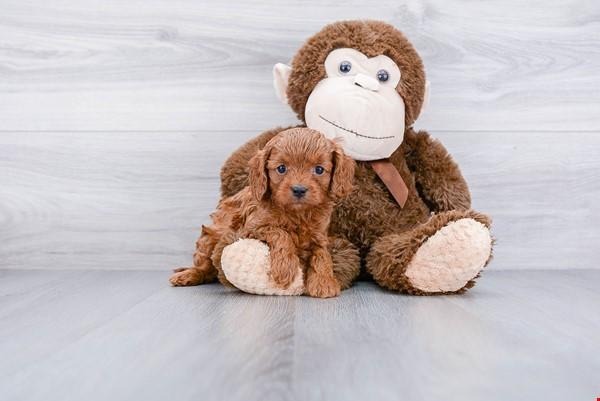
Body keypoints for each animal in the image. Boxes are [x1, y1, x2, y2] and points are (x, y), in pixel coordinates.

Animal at [169, 127, 356, 296]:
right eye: (281, 168)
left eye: (319, 169)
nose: (299, 189)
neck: (296, 213)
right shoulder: (250, 228)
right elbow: (281, 233)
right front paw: (285, 268)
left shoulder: (319, 236)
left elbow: (322, 254)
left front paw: (324, 283)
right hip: (210, 237)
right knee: (205, 267)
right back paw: (187, 275)